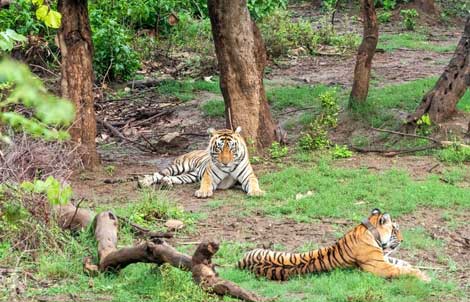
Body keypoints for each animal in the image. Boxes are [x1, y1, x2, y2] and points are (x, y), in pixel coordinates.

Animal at [138, 127, 266, 198]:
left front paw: (256, 192)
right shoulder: (209, 175)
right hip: (179, 166)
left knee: (172, 177)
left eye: (231, 148)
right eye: (219, 148)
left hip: (190, 176)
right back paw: (144, 182)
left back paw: (166, 182)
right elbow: (206, 183)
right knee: (158, 174)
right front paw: (203, 192)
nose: (225, 163)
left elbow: (254, 182)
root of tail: (192, 150)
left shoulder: (248, 176)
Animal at [239, 209, 430, 282]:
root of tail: (240, 263)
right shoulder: (380, 266)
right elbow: (402, 269)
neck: (368, 230)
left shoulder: (383, 259)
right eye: (395, 229)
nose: (403, 240)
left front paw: (420, 270)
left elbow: (404, 263)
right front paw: (424, 277)